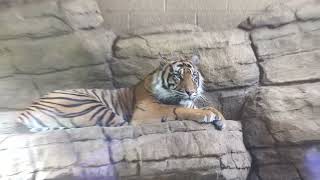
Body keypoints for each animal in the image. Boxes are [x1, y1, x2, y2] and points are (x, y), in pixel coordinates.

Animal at [17, 53, 226, 132]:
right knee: (125, 126)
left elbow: (207, 107)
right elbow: (175, 109)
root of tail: (25, 112)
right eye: (177, 76)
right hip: (88, 104)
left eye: (193, 76)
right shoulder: (147, 110)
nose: (191, 92)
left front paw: (219, 117)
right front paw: (208, 115)